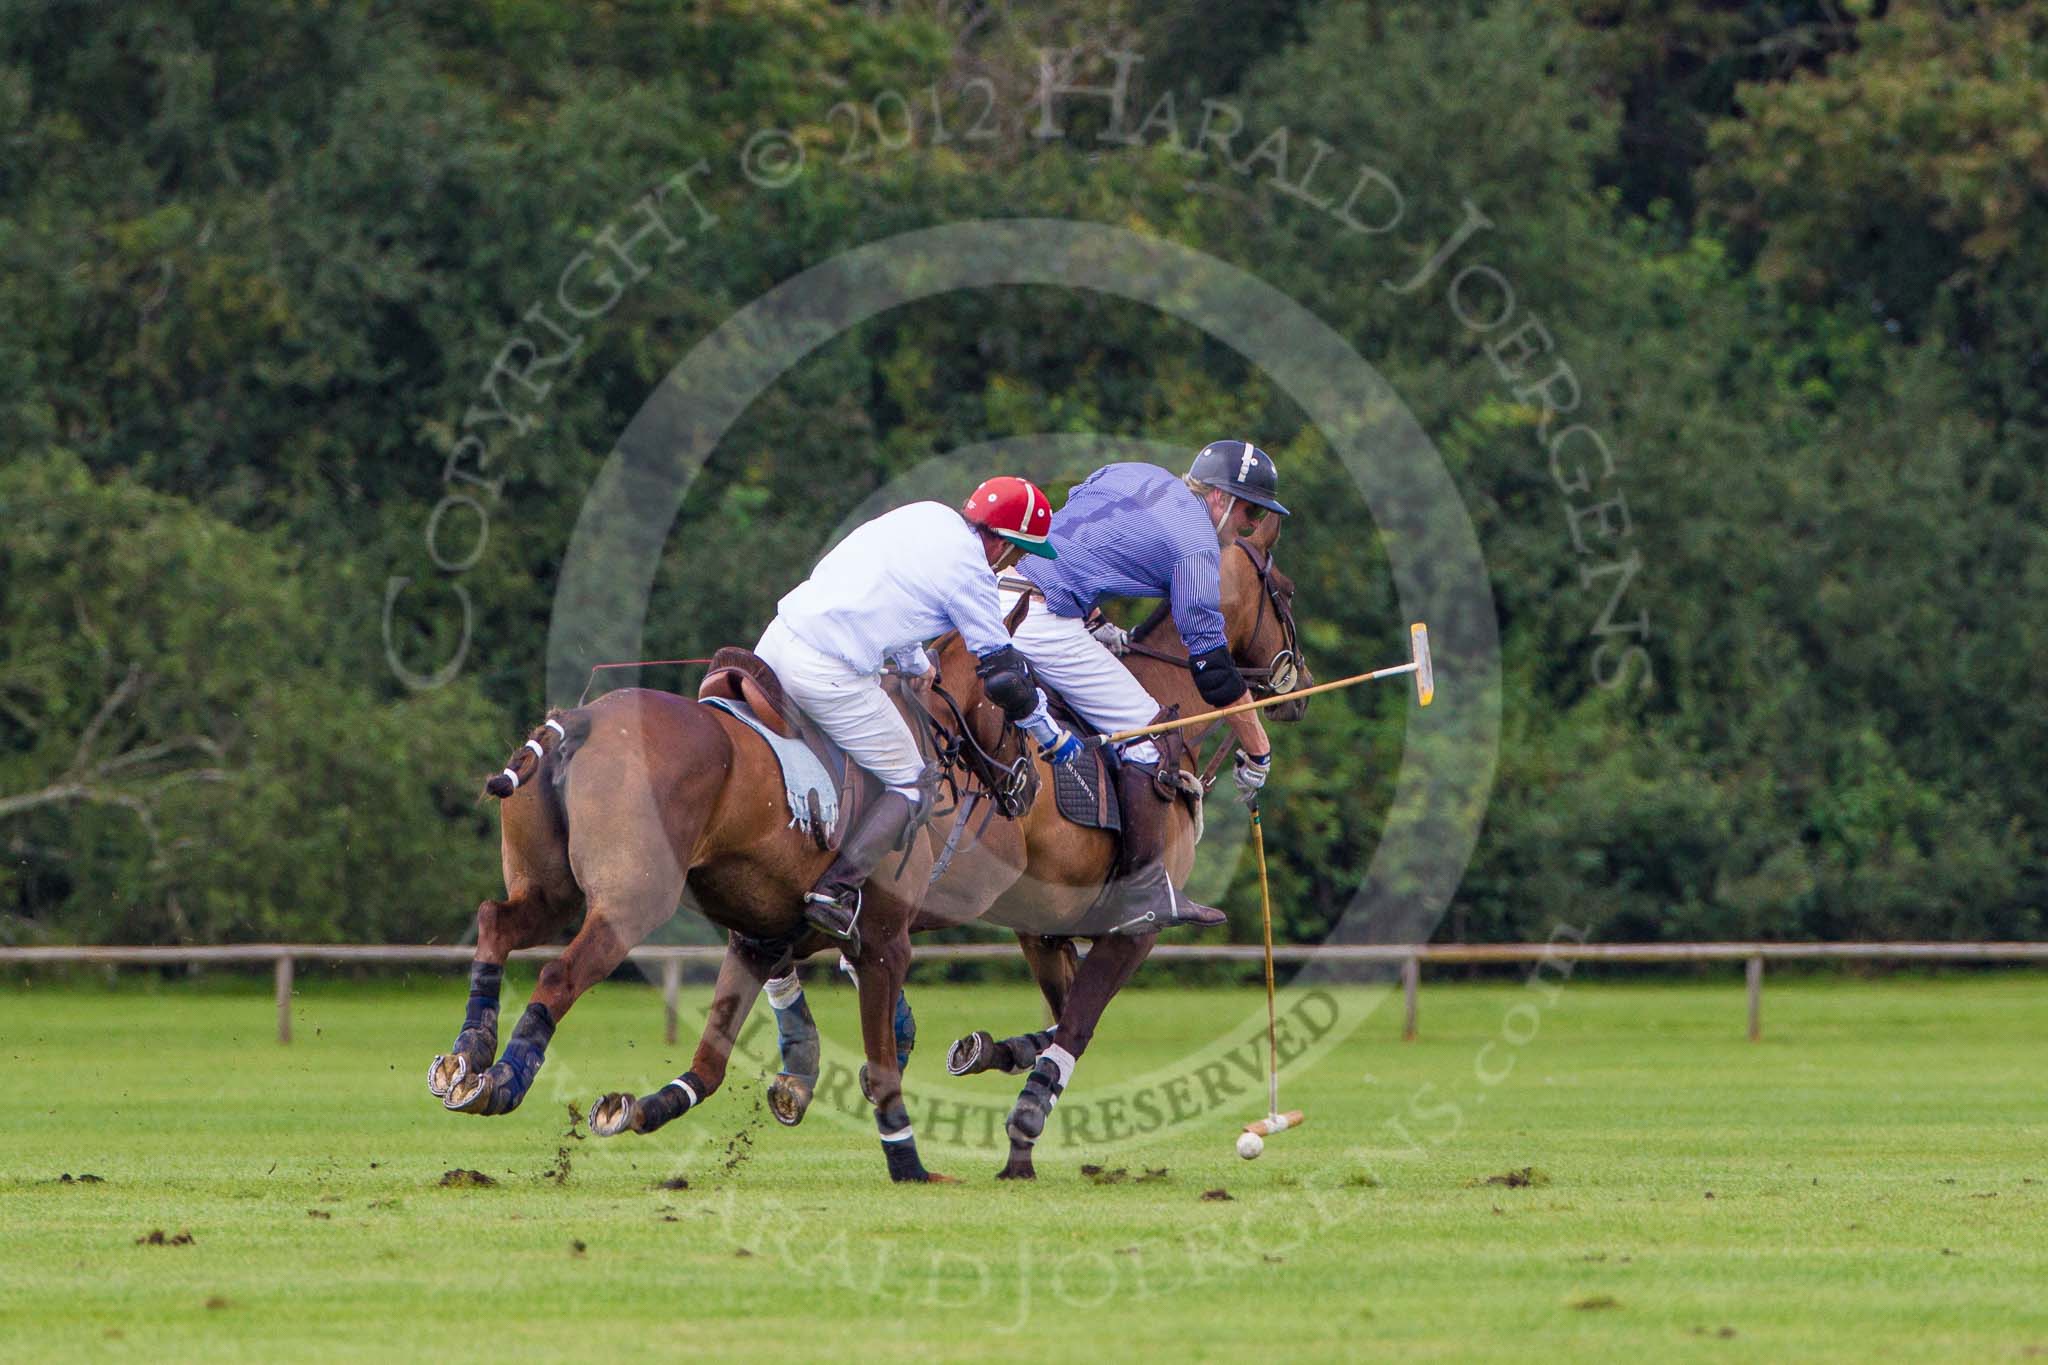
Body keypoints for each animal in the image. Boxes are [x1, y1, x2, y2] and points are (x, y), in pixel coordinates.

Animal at [585, 540, 1302, 1178]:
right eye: (1285, 592)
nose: (1293, 686)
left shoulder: (1040, 927)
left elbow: (1059, 1015)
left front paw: (987, 1053)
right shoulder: (1136, 929)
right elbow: (1078, 1023)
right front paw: (1018, 1126)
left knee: (774, 956)